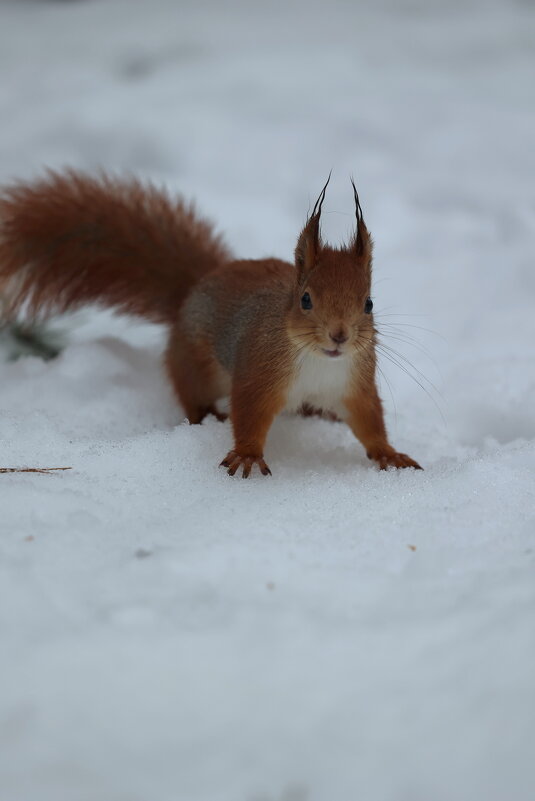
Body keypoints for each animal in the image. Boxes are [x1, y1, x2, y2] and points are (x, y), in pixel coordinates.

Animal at [0, 169, 422, 476]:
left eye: (368, 303)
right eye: (305, 300)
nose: (339, 335)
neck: (320, 362)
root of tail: (193, 290)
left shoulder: (355, 385)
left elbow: (369, 421)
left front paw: (390, 454)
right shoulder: (258, 373)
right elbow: (248, 413)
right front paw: (248, 454)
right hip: (196, 365)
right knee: (189, 392)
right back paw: (206, 415)